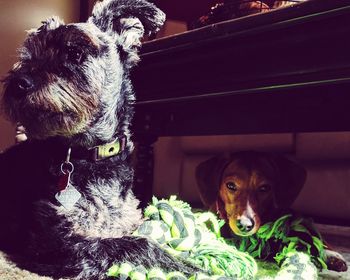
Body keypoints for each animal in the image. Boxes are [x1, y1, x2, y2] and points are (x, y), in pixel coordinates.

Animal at [0, 1, 200, 278]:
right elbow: (133, 244)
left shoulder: (126, 219)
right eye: (29, 55)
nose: (18, 83)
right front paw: (186, 265)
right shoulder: (54, 243)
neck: (92, 156)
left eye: (74, 53)